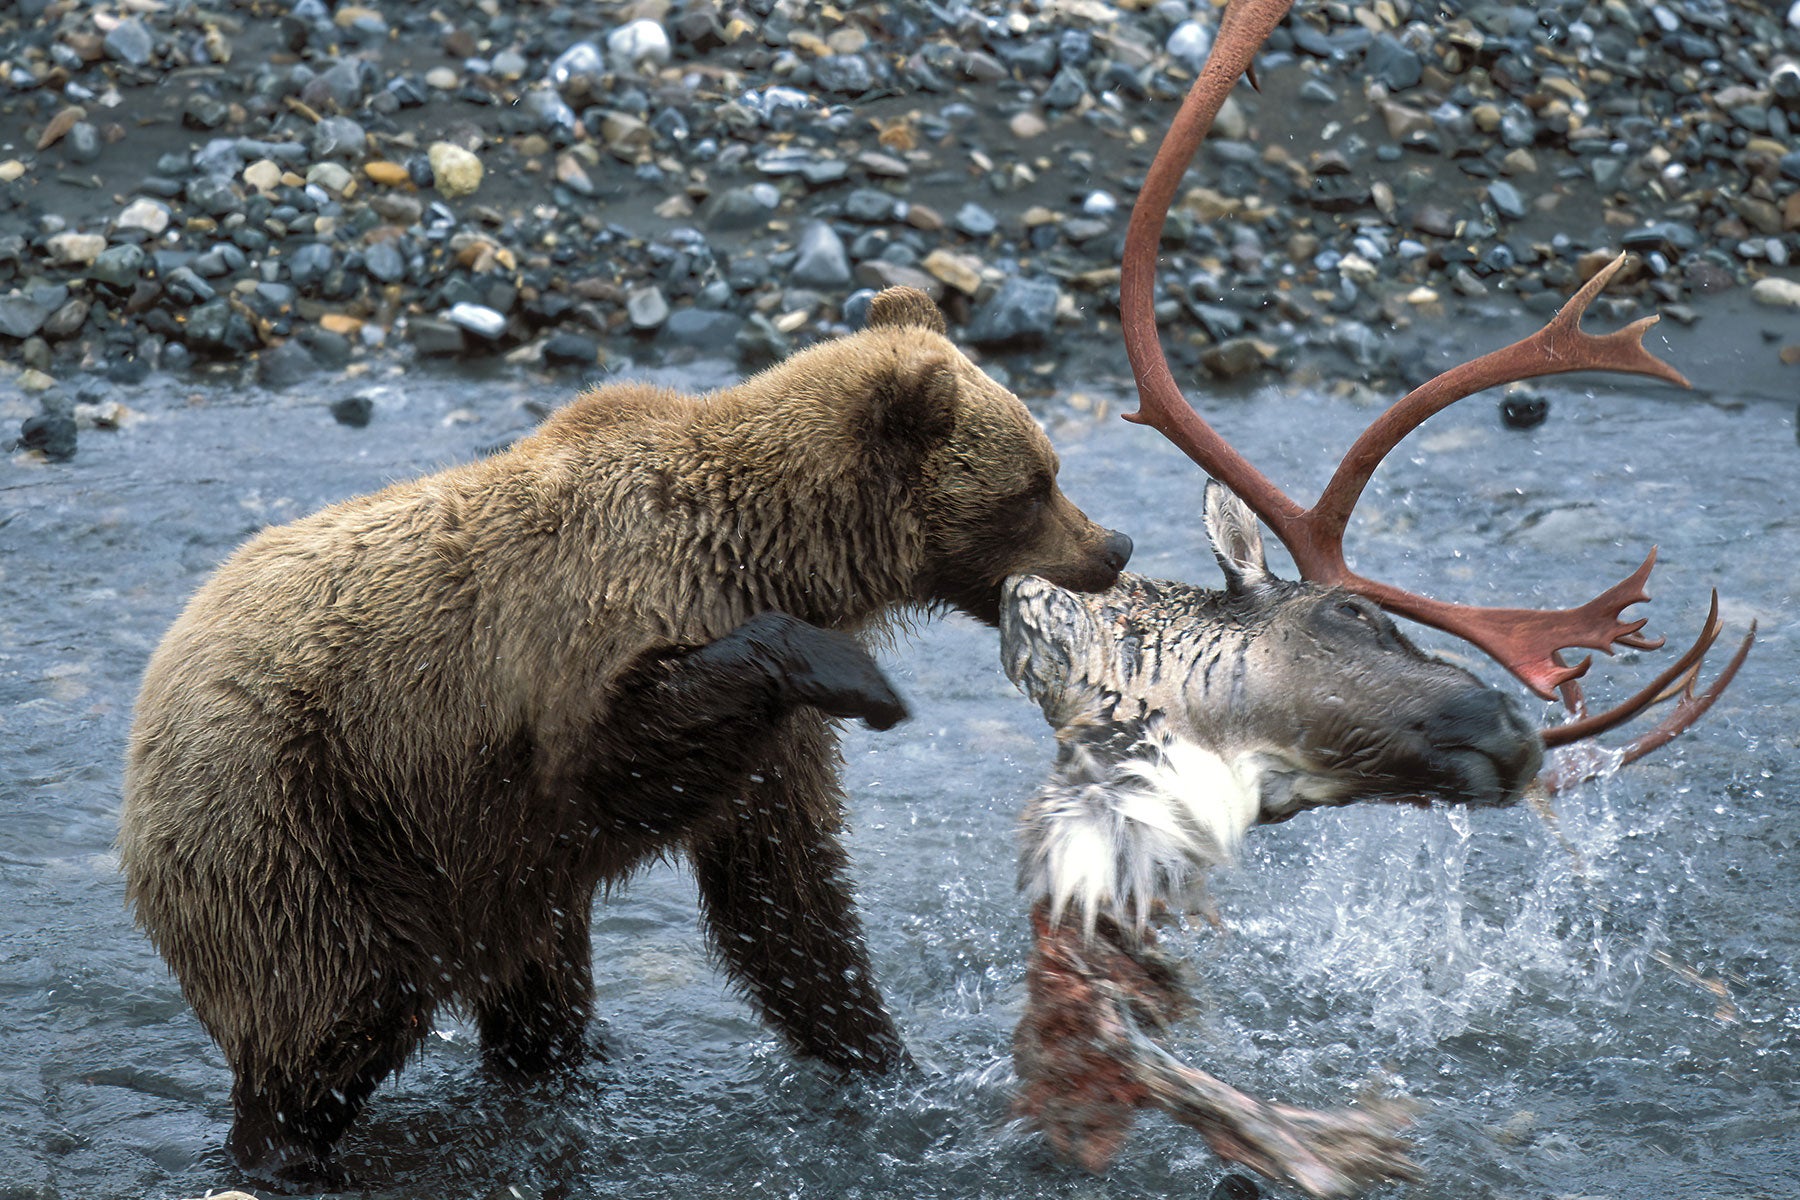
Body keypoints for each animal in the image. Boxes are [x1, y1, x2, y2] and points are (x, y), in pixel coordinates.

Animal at [118, 286, 1132, 1188]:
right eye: (1036, 483)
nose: (1113, 545)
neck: (774, 554)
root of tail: (148, 709)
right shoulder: (590, 633)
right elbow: (626, 753)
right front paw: (865, 680)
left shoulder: (773, 749)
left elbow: (786, 899)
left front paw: (883, 1061)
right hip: (298, 827)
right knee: (330, 1018)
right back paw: (288, 1150)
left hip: (481, 879)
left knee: (537, 991)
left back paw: (564, 1069)